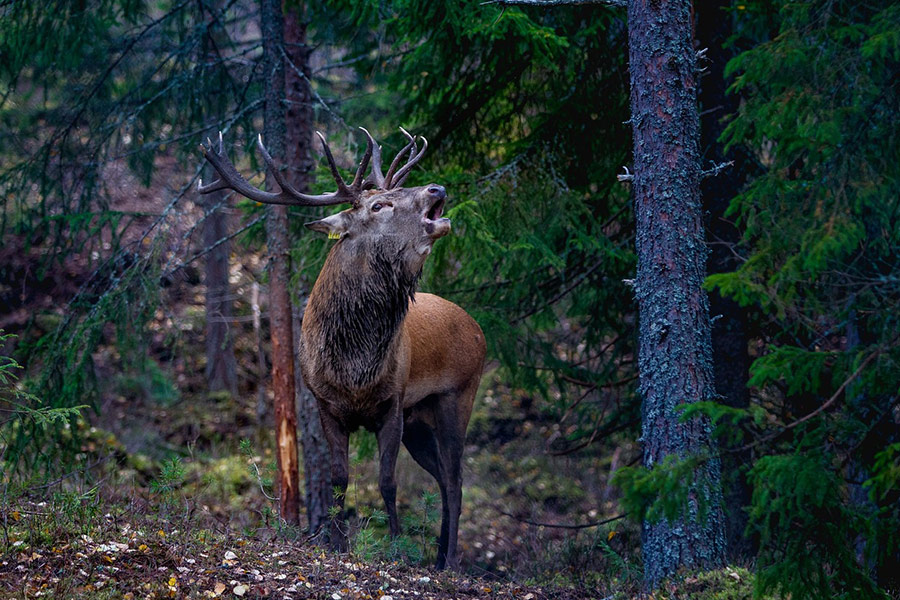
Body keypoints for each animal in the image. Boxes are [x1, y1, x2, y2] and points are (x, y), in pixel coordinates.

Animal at [198, 127, 485, 570]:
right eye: (380, 204)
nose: (436, 187)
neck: (353, 369)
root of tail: (478, 330)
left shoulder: (392, 403)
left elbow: (387, 481)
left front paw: (396, 547)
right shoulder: (326, 406)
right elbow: (338, 480)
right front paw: (335, 544)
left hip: (457, 395)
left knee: (454, 480)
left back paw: (450, 560)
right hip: (420, 419)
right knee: (441, 478)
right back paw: (439, 557)